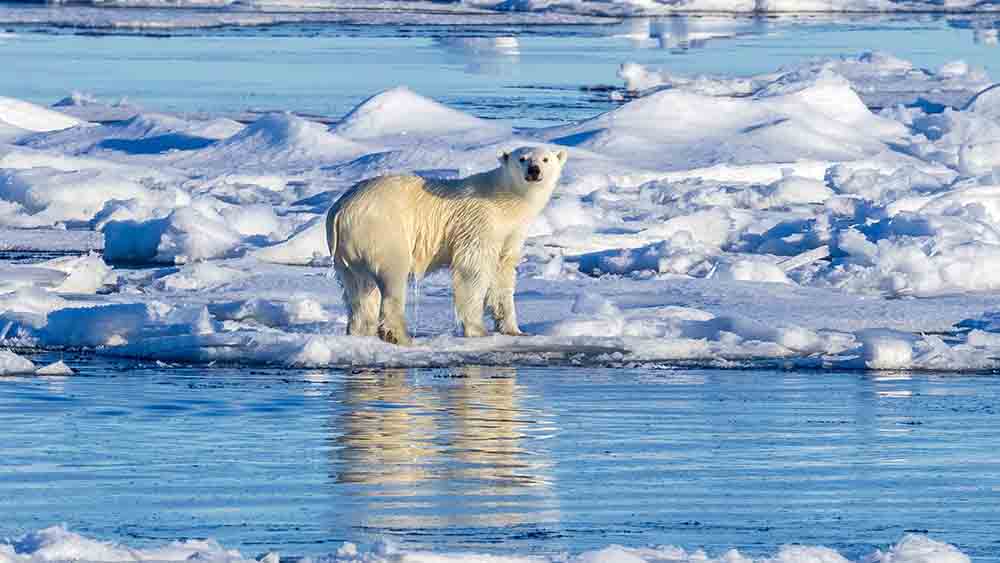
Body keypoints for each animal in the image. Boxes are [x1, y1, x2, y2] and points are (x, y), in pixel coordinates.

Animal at [326, 145, 568, 346]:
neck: (505, 200)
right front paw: (478, 330)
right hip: (382, 230)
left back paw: (359, 331)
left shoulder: (511, 233)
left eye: (545, 159)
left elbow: (503, 273)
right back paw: (401, 336)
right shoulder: (480, 223)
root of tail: (341, 209)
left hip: (347, 249)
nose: (534, 170)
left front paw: (514, 330)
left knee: (358, 289)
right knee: (392, 275)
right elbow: (473, 269)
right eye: (522, 158)